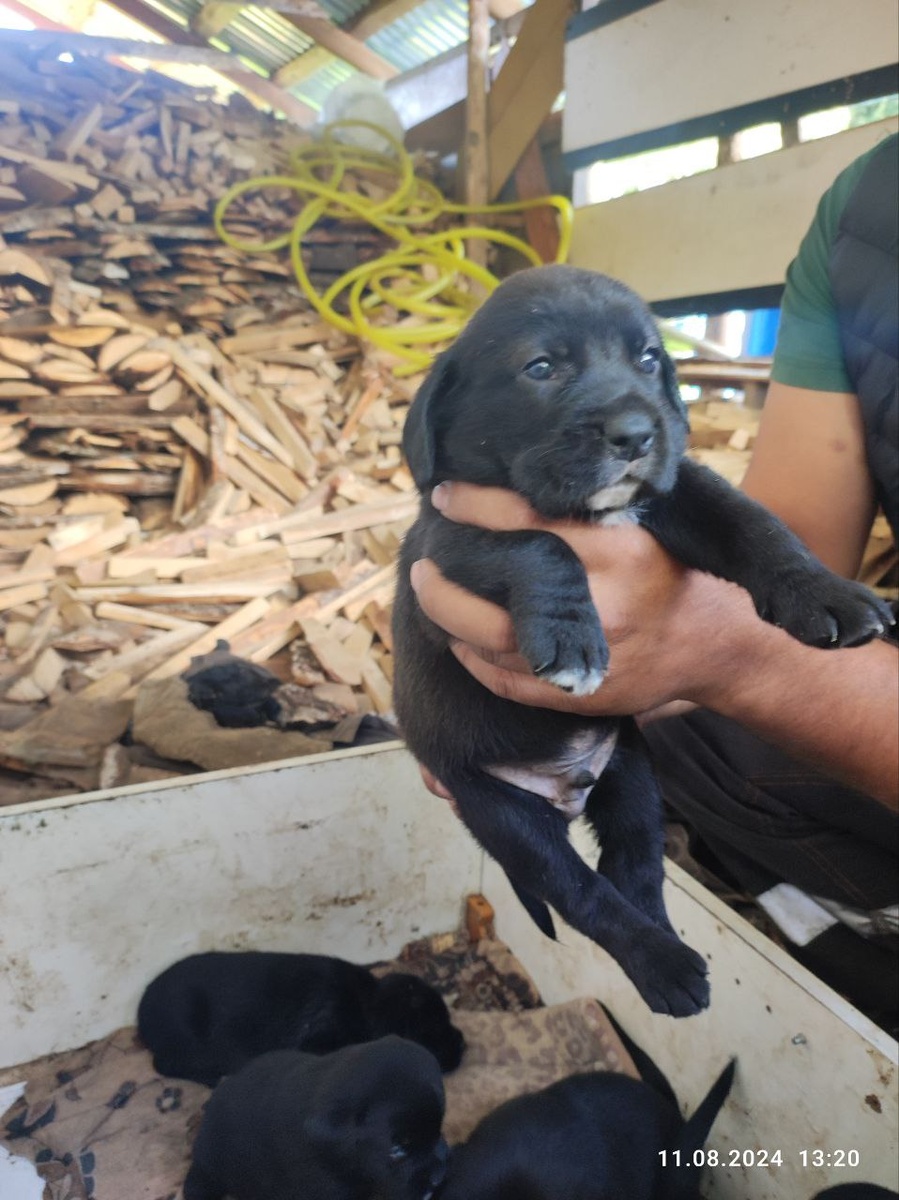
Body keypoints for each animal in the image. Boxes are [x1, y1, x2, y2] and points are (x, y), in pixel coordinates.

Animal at [139, 945, 465, 1089]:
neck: (365, 1005)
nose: (463, 1044)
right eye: (432, 1027)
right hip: (187, 1036)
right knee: (165, 1064)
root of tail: (141, 1011)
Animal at [388, 262, 888, 1012]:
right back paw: (663, 968)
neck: (594, 514)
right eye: (540, 367)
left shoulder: (676, 493)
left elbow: (747, 518)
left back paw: (672, 947)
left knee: (637, 867)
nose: (634, 434)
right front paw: (573, 641)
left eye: (649, 360)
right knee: (581, 891)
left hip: (632, 774)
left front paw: (822, 592)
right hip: (500, 811)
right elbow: (537, 543)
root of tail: (565, 791)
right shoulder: (444, 541)